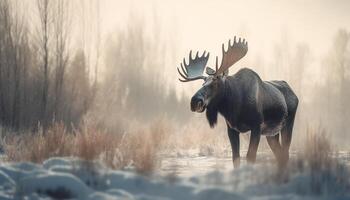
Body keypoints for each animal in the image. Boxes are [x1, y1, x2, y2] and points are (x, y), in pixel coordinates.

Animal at [178, 36, 298, 167]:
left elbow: (250, 156)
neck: (234, 106)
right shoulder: (232, 129)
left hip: (287, 124)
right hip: (271, 134)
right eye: (203, 83)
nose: (195, 101)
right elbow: (235, 158)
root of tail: (294, 93)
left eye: (215, 83)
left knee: (285, 153)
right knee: (280, 155)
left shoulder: (256, 126)